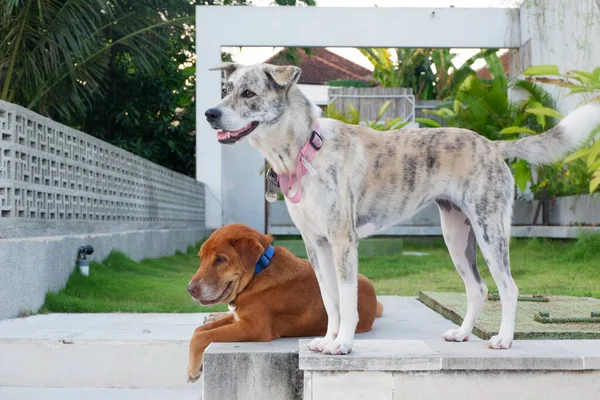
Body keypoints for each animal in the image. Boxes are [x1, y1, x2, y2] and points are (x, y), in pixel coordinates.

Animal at [185, 223, 382, 382]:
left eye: (220, 259)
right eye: (201, 258)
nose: (190, 289)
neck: (259, 271)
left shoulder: (254, 327)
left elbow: (202, 336)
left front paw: (193, 370)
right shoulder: (240, 318)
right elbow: (199, 330)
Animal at [205, 61, 600, 354]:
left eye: (248, 93)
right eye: (226, 90)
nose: (210, 114)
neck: (304, 148)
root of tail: (492, 144)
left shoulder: (343, 242)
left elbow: (346, 300)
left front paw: (343, 344)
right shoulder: (316, 245)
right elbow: (330, 301)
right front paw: (328, 340)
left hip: (491, 233)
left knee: (508, 287)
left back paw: (503, 339)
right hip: (456, 237)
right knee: (477, 289)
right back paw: (462, 334)